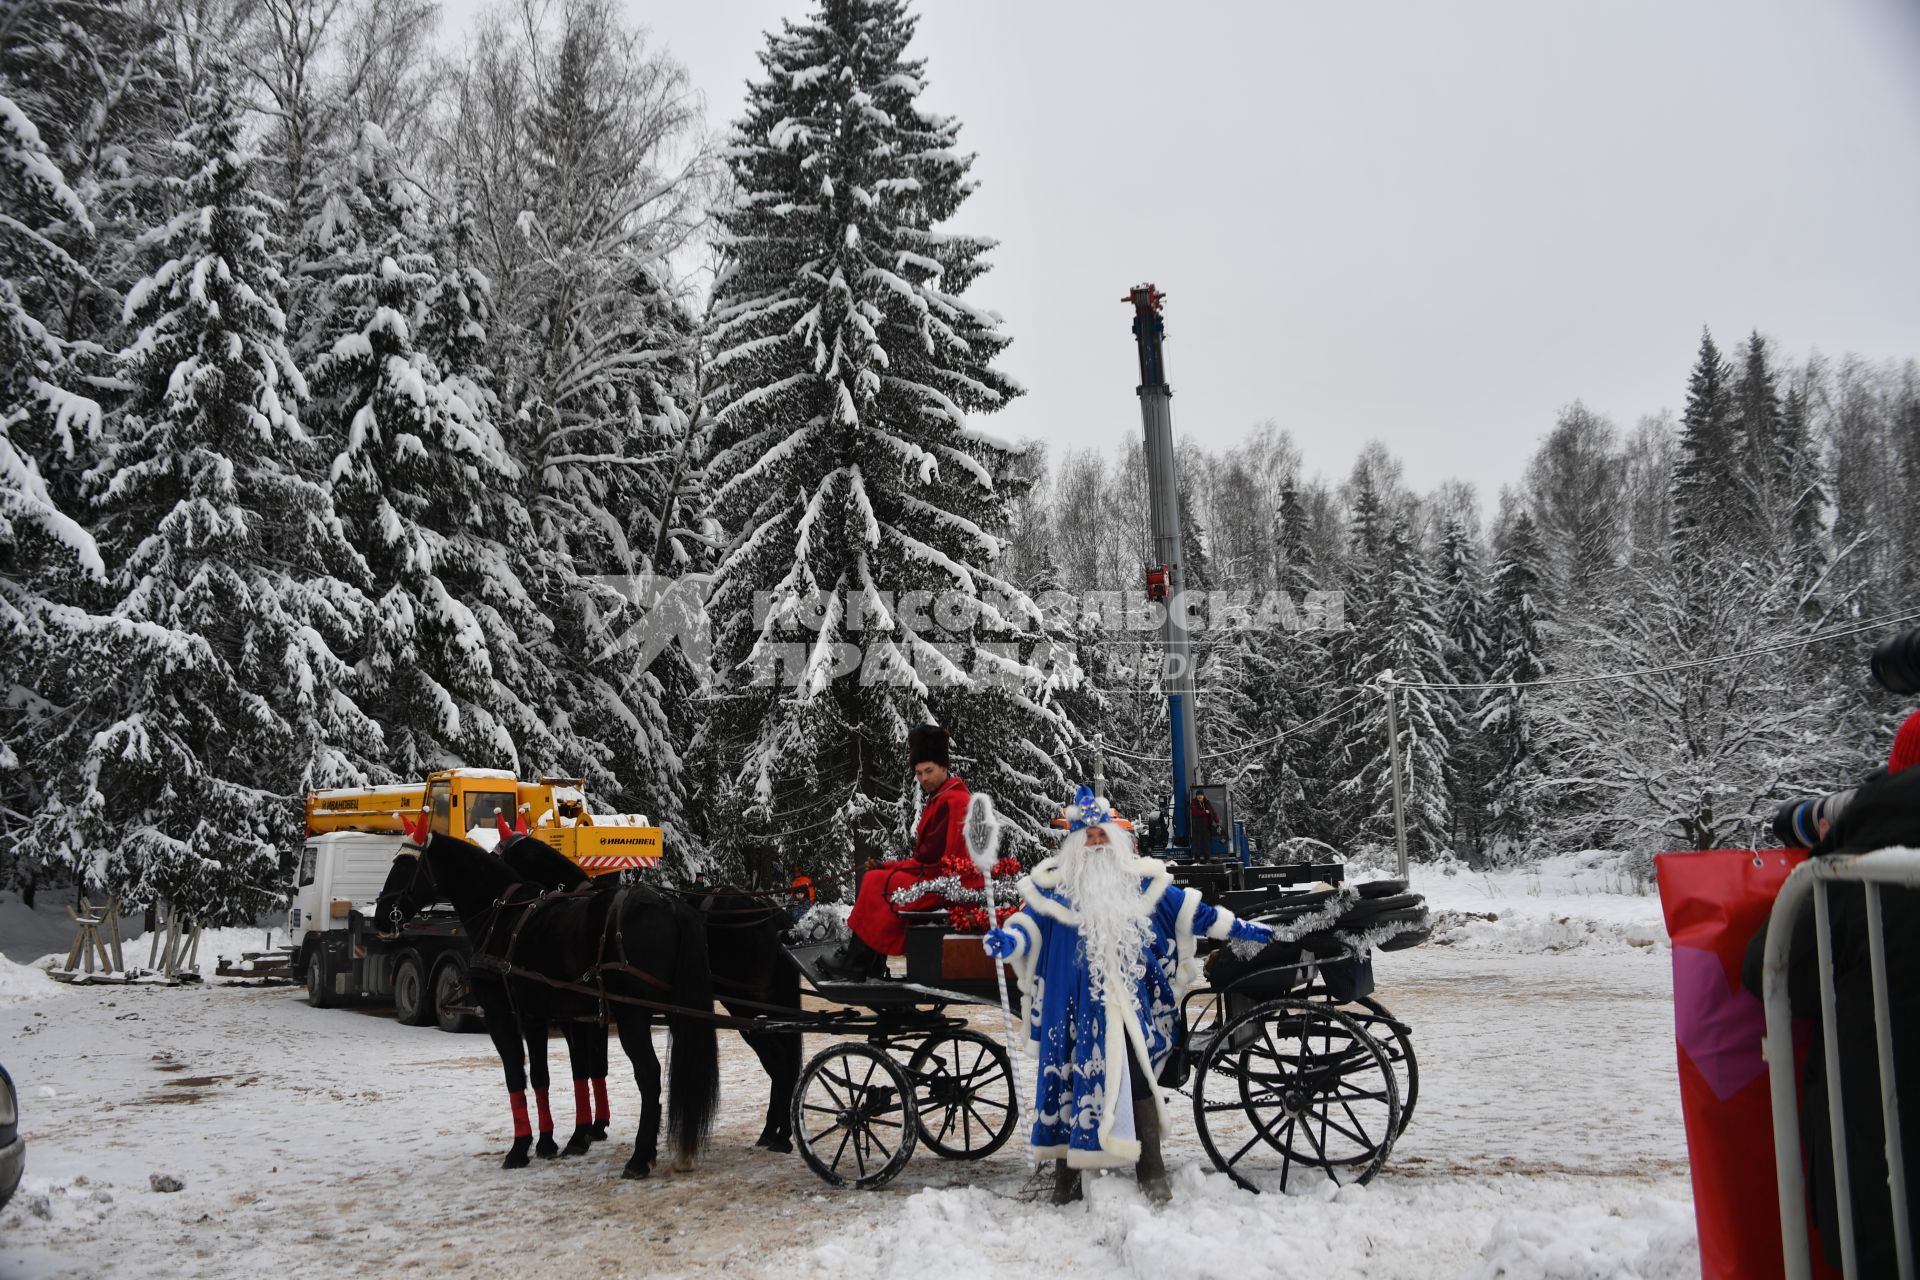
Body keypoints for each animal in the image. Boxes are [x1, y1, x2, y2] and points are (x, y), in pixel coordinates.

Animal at [380, 832, 721, 1182]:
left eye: (404, 866)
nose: (380, 914)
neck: (503, 917)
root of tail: (669, 904)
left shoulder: (508, 1015)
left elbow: (521, 1076)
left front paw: (523, 1147)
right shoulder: (558, 1015)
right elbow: (565, 1073)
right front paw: (558, 1140)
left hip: (632, 1013)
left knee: (649, 1073)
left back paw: (640, 1158)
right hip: (672, 1009)